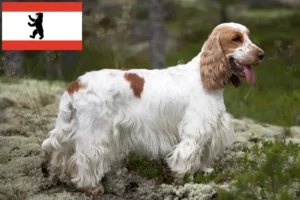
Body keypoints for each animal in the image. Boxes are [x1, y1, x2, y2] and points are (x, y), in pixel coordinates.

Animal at [41, 22, 262, 195]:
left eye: (248, 36)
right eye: (236, 39)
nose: (261, 54)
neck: (204, 76)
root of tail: (76, 83)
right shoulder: (195, 129)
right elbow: (187, 156)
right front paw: (185, 180)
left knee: (62, 154)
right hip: (96, 132)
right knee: (86, 158)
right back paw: (91, 186)